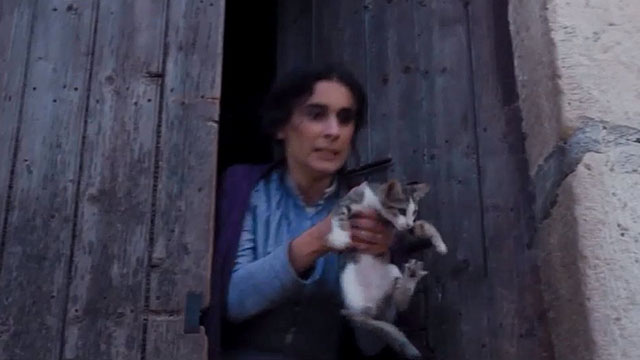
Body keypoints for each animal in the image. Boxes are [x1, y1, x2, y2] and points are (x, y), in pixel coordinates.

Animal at [324, 181, 444, 358]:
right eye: (402, 210)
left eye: (414, 211)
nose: (409, 223)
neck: (378, 210)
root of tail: (378, 310)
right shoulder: (349, 199)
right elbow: (339, 214)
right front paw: (339, 237)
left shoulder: (402, 228)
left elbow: (423, 225)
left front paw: (439, 243)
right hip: (349, 284)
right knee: (362, 318)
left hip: (392, 271)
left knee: (398, 304)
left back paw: (410, 278)